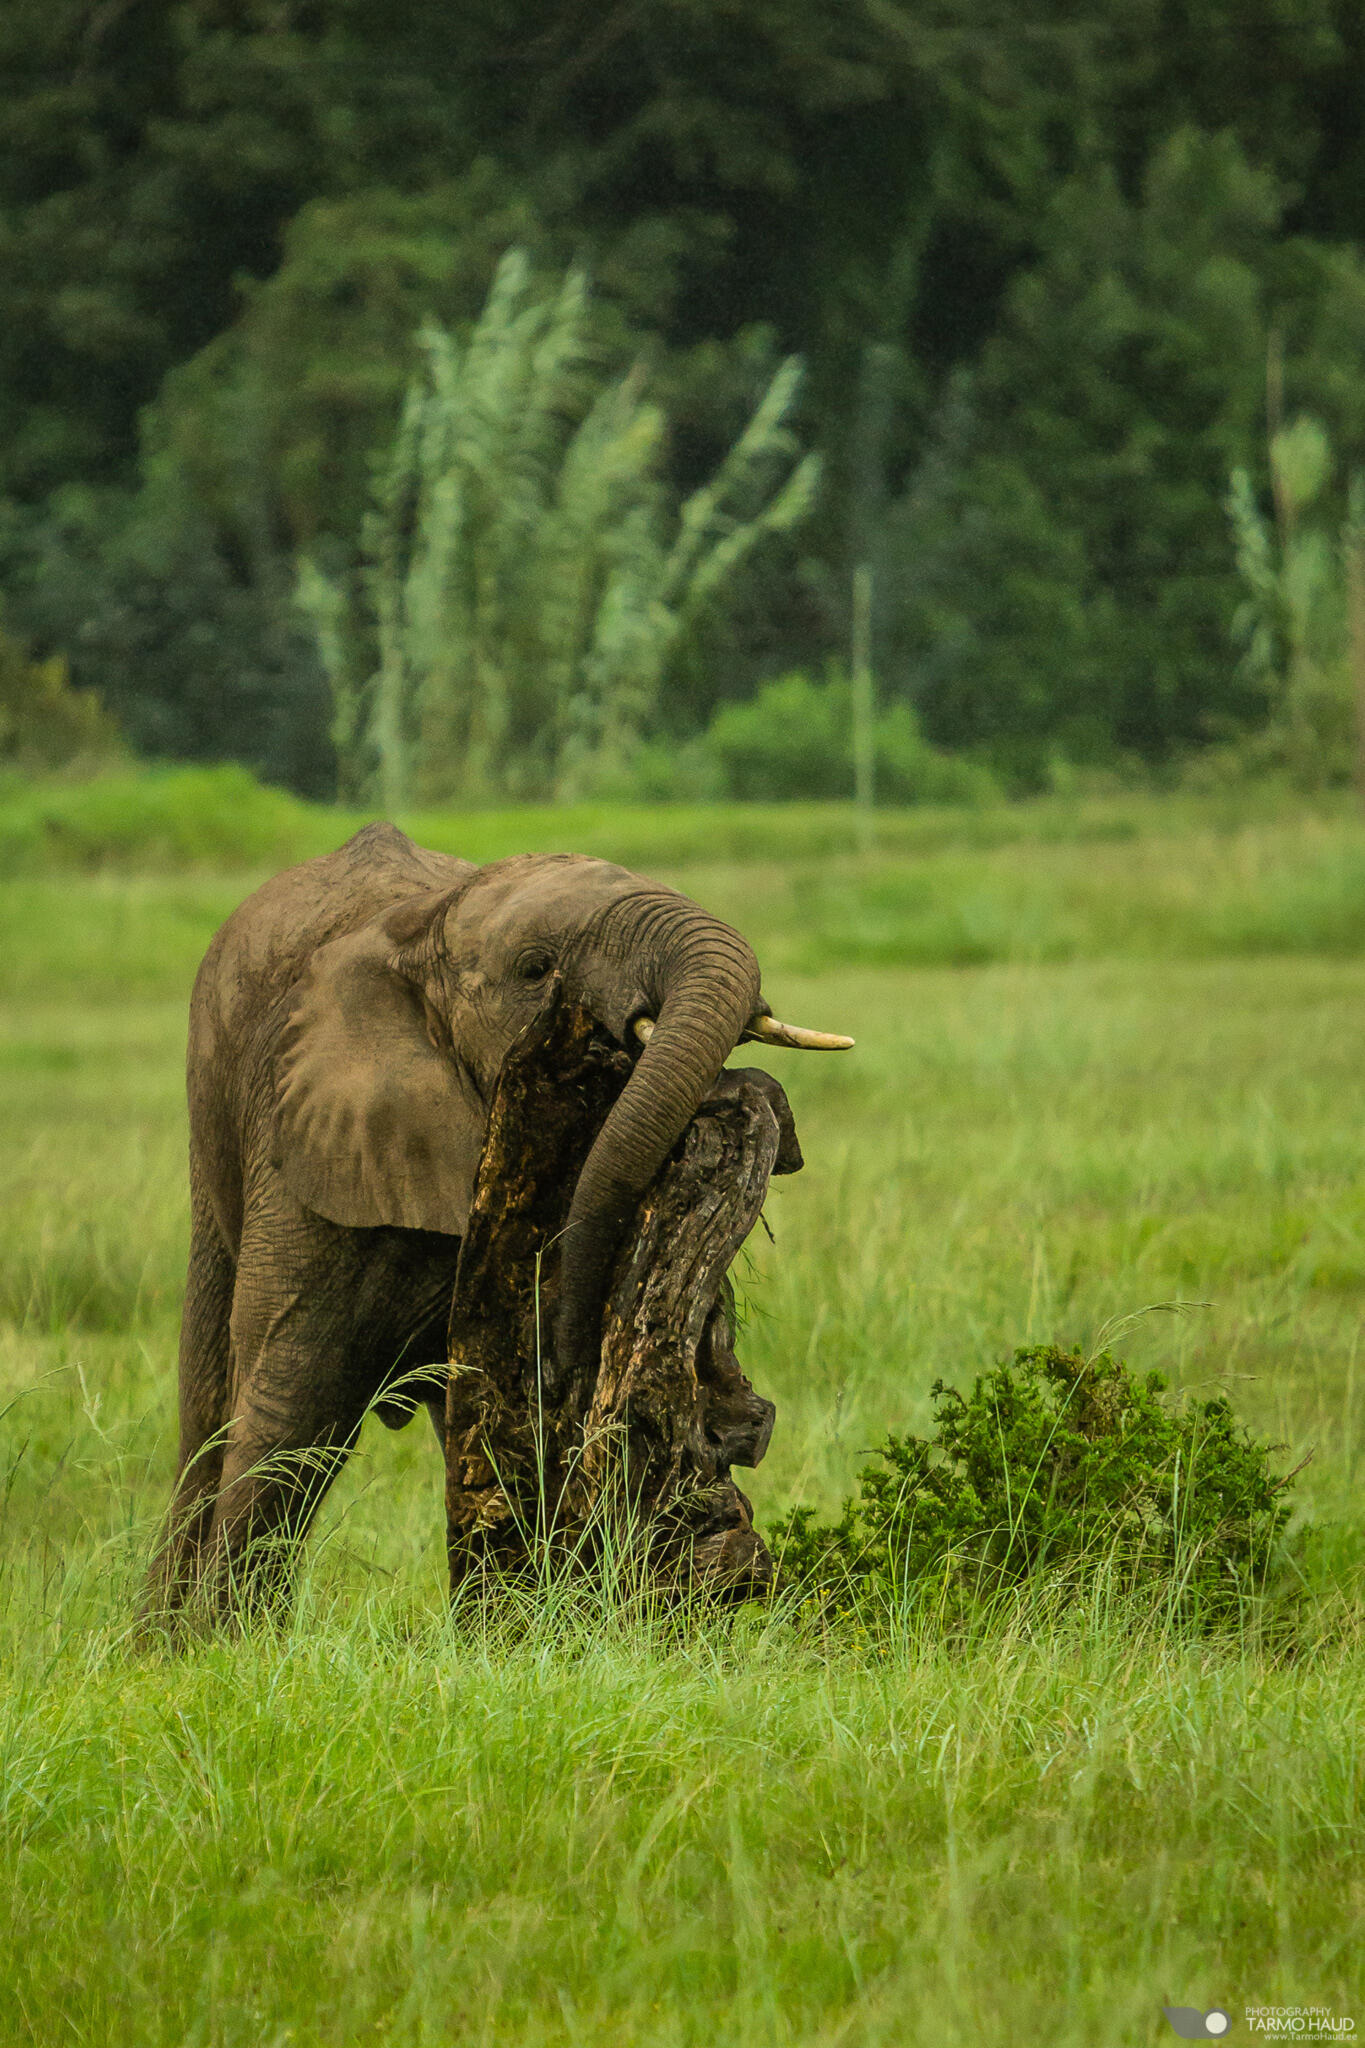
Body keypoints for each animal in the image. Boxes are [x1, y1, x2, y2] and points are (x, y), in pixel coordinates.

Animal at [146, 821, 851, 1619]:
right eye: (536, 969)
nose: (568, 1365)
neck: (426, 924)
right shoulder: (303, 1136)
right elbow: (291, 1399)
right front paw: (216, 1643)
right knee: (210, 1406)